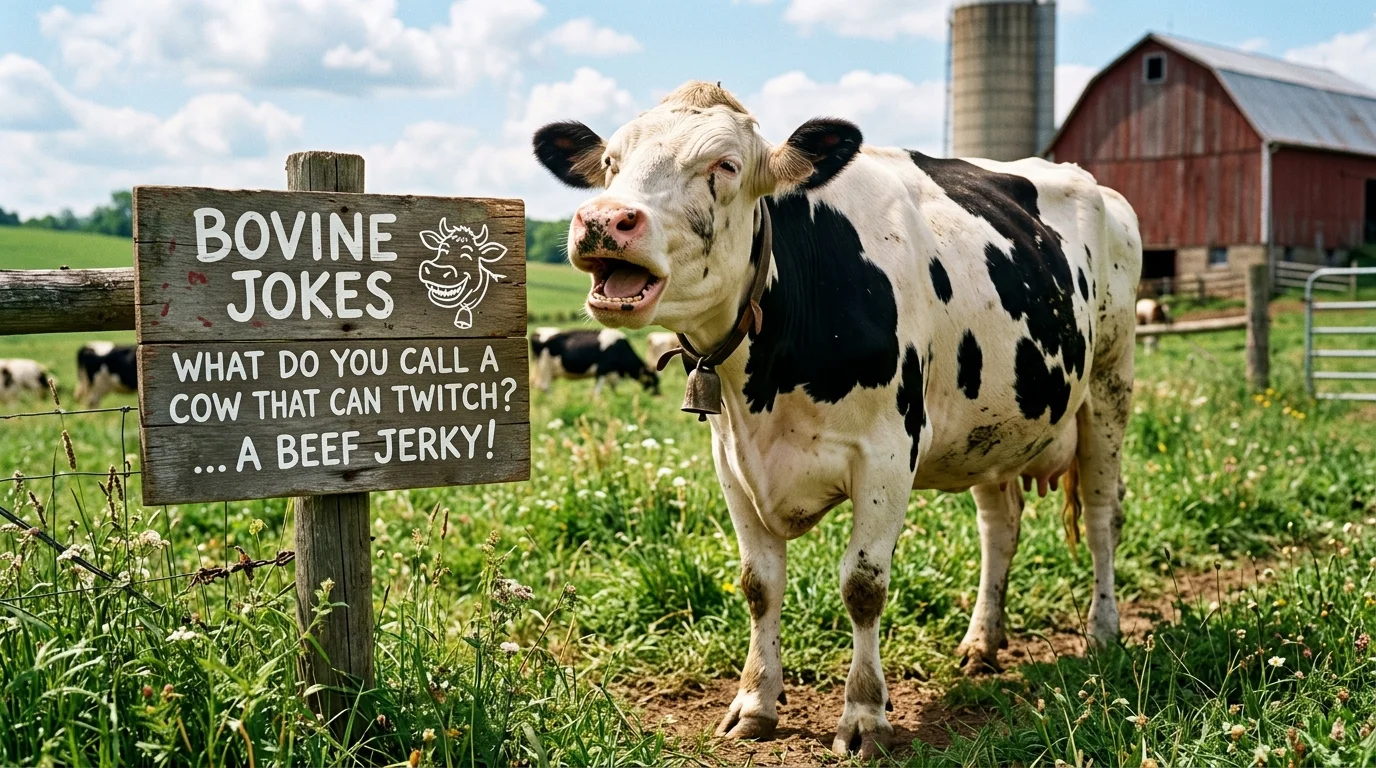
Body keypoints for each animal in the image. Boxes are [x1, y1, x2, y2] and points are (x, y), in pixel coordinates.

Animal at [529, 328, 660, 396]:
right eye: (653, 381)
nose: (658, 395)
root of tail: (537, 332)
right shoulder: (602, 369)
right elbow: (597, 391)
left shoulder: (611, 374)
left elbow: (613, 389)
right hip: (545, 368)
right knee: (544, 387)